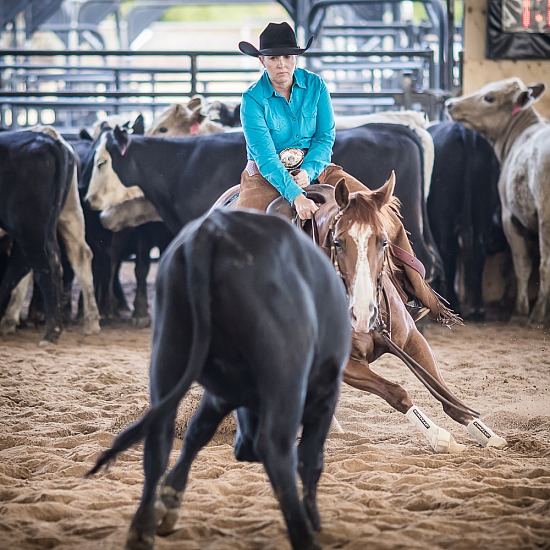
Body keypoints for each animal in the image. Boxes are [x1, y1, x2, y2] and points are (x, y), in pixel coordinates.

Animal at [88, 208, 352, 550]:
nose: (243, 449)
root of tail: (213, 230)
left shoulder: (221, 393)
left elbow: (197, 431)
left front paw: (170, 498)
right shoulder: (324, 393)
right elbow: (311, 459)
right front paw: (314, 519)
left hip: (169, 350)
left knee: (158, 438)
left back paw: (142, 528)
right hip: (286, 374)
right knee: (277, 446)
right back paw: (303, 535)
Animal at [268, 175, 508, 454]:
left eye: (383, 241)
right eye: (337, 242)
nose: (362, 313)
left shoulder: (413, 339)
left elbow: (444, 392)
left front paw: (486, 433)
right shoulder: (347, 365)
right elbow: (397, 392)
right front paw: (439, 435)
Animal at [430, 121, 512, 320]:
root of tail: (463, 131)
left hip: (443, 213)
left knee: (447, 251)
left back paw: (453, 304)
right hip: (482, 207)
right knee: (477, 248)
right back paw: (477, 309)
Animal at [446, 78, 548, 328]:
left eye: (489, 97)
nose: (450, 104)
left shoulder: (510, 217)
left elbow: (521, 265)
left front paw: (520, 310)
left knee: (545, 264)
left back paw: (538, 313)